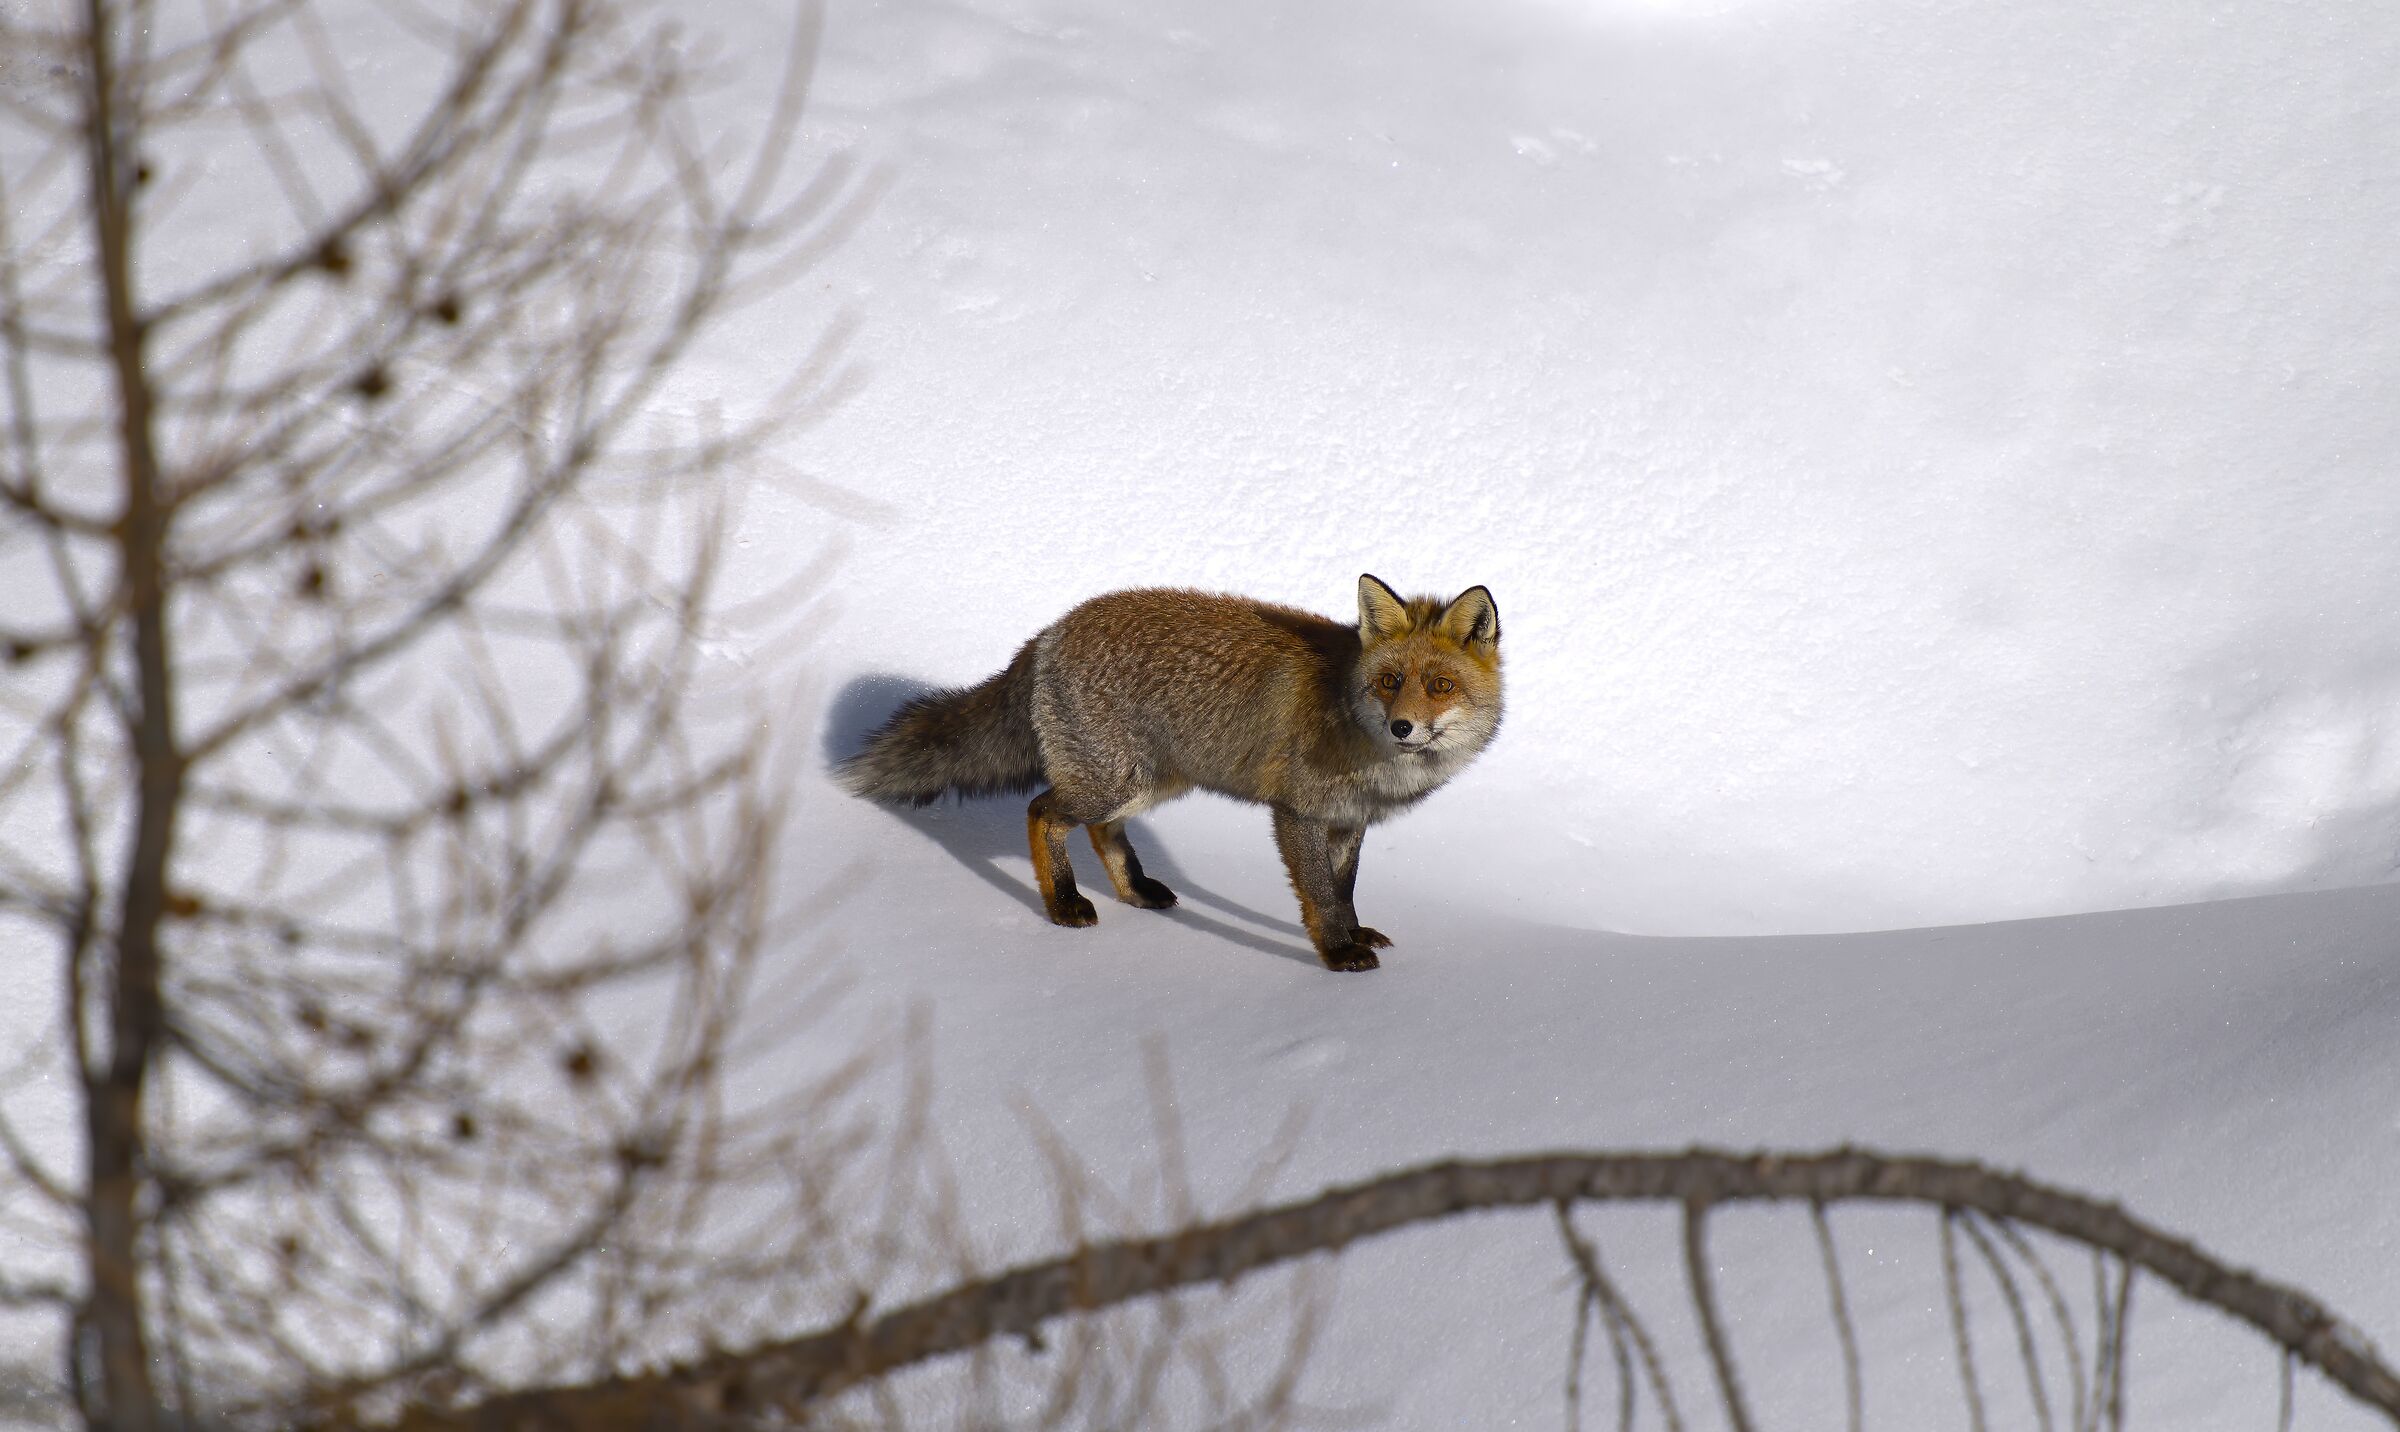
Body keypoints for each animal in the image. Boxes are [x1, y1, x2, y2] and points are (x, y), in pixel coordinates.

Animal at [837, 575, 1502, 971]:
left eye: (1440, 686)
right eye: (1390, 681)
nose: (1402, 728)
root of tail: (1049, 631)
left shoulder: (1347, 824)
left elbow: (1344, 891)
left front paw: (1355, 934)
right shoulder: (1298, 814)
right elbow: (1319, 896)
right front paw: (1338, 953)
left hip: (1147, 782)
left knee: (1102, 832)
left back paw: (1136, 890)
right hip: (1111, 783)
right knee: (1041, 812)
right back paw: (1064, 904)